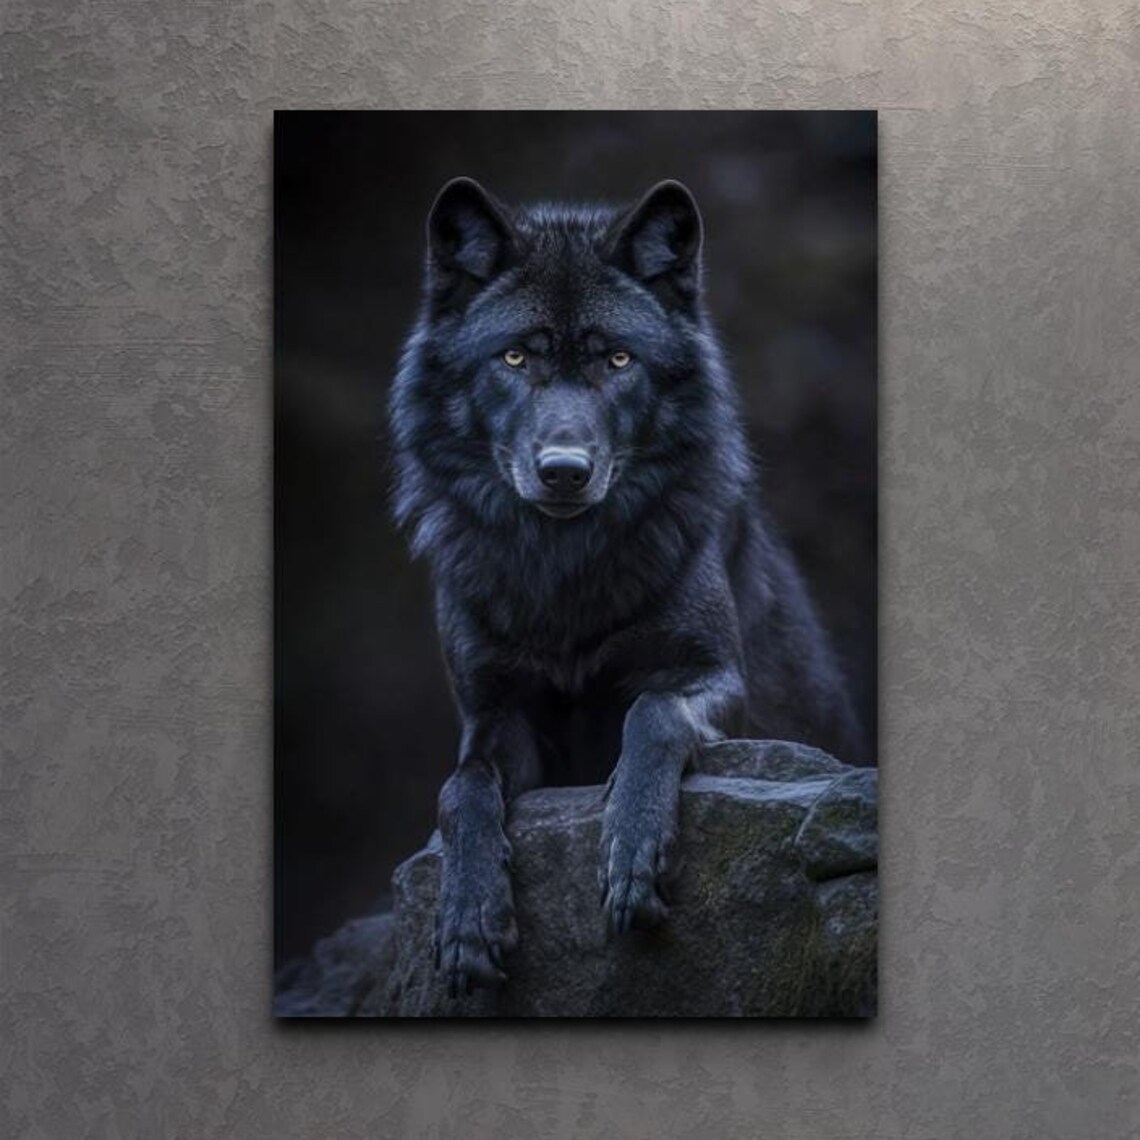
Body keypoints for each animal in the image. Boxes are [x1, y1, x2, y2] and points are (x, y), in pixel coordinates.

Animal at [389, 177, 864, 996]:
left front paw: (631, 849)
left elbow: (652, 713)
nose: (564, 471)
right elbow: (461, 789)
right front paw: (468, 919)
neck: (564, 576)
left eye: (617, 359)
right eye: (514, 356)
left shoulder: (715, 677)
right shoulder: (494, 714)